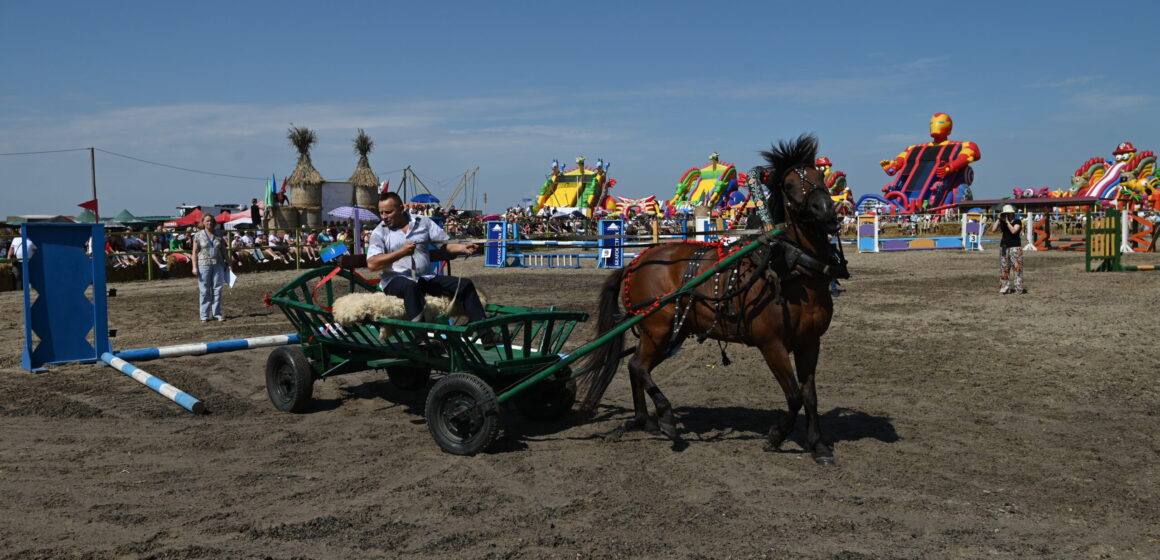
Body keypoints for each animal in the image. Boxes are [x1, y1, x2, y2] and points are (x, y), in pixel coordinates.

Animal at [575, 133, 849, 466]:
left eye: (820, 177)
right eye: (790, 184)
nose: (826, 210)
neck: (791, 271)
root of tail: (635, 263)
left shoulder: (810, 342)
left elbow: (810, 396)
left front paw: (818, 445)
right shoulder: (772, 344)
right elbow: (794, 395)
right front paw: (776, 435)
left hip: (669, 333)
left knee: (634, 366)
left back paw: (644, 420)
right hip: (659, 329)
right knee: (639, 366)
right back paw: (665, 417)